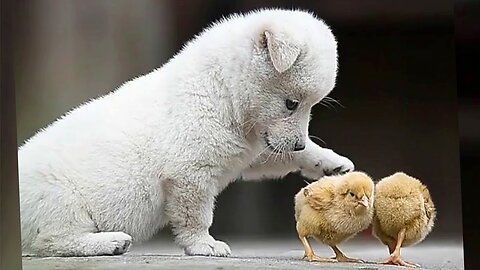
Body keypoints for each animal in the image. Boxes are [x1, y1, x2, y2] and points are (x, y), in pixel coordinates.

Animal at [18, 8, 352, 258]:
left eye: (311, 105)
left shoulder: (247, 145)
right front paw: (205, 244)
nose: (297, 144)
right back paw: (109, 241)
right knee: (50, 238)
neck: (222, 93)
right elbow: (195, 210)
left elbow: (268, 158)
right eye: (291, 103)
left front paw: (333, 164)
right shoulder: (190, 168)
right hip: (57, 196)